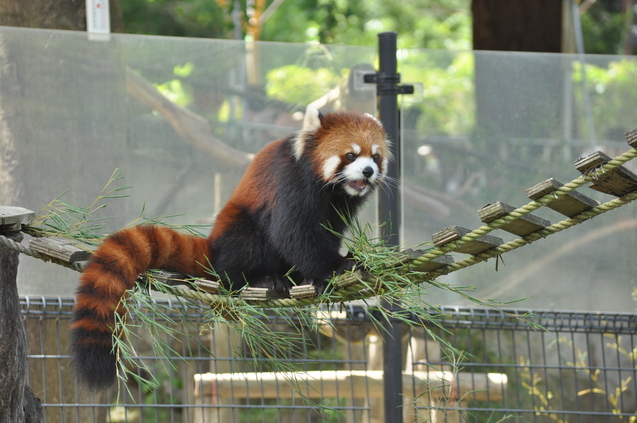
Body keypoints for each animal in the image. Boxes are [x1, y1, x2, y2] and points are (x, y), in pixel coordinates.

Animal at [69, 106, 388, 390]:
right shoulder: (290, 183)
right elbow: (293, 233)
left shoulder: (339, 208)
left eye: (375, 156)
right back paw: (262, 280)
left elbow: (326, 234)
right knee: (243, 252)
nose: (368, 171)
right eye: (350, 154)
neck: (330, 190)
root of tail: (214, 248)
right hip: (239, 230)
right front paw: (334, 268)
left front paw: (330, 267)